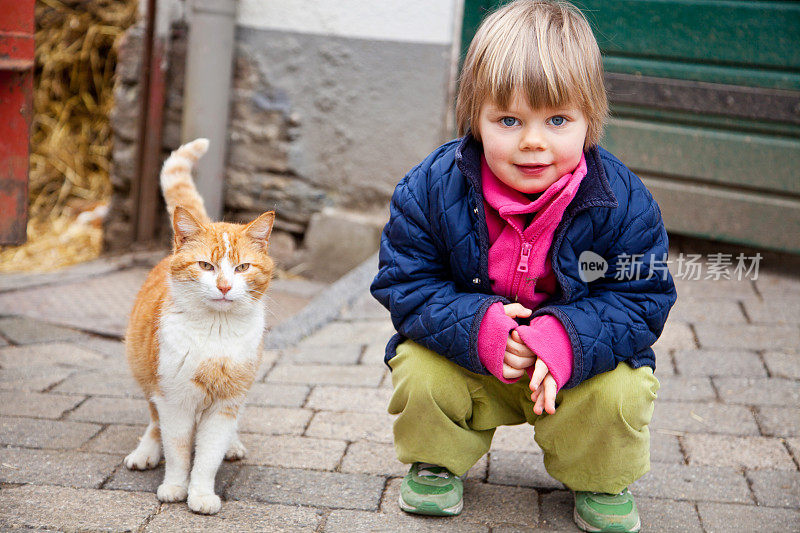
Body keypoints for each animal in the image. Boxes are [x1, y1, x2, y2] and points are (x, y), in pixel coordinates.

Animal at [123, 139, 276, 512]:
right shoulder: (174, 399)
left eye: (242, 267)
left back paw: (233, 445)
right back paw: (146, 451)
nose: (223, 286)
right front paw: (175, 487)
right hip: (146, 374)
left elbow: (207, 456)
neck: (215, 333)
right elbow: (178, 450)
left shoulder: (225, 404)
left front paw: (202, 494)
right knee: (153, 421)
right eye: (206, 266)